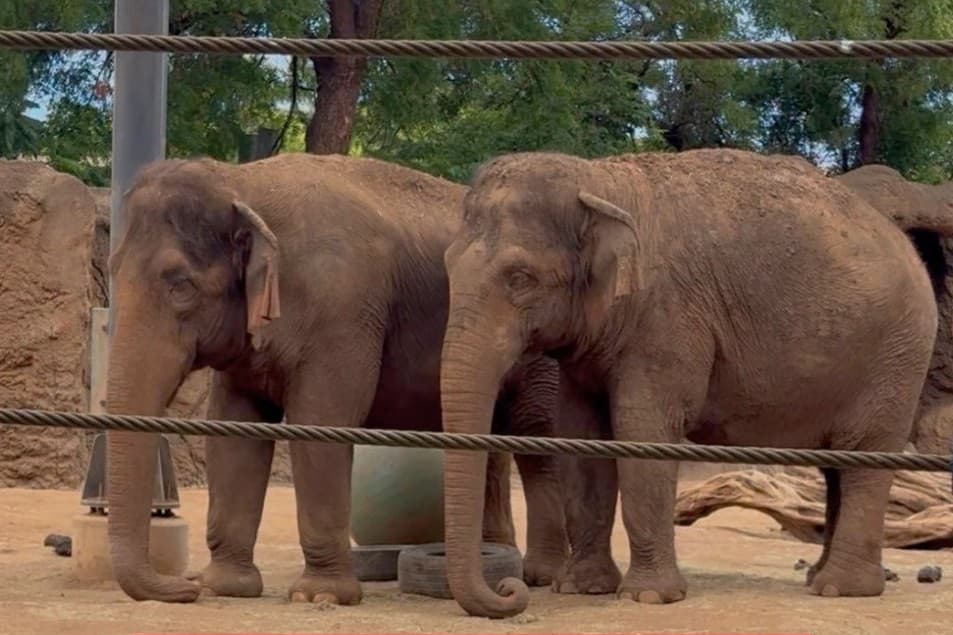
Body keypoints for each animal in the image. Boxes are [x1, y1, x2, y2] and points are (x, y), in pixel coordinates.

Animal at [103, 152, 570, 604]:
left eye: (181, 286)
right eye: (111, 270)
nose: (185, 586)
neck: (242, 181)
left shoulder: (342, 312)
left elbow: (321, 420)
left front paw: (319, 595)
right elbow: (234, 429)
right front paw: (224, 586)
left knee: (535, 435)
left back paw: (540, 575)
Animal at [437, 148, 939, 618]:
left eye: (520, 278)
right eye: (447, 264)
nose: (511, 588)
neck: (600, 179)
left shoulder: (666, 319)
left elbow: (644, 434)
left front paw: (649, 597)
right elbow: (582, 440)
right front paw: (581, 588)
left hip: (895, 358)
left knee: (863, 459)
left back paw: (840, 589)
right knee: (837, 465)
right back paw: (820, 578)